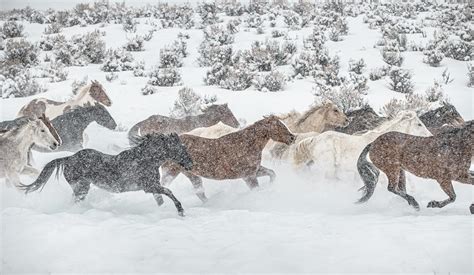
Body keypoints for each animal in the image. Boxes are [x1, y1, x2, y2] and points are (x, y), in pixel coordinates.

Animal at [18, 134, 193, 218]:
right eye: (180, 148)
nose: (191, 164)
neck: (145, 160)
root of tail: (69, 158)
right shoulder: (149, 187)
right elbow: (169, 192)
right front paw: (181, 211)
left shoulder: (152, 187)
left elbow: (161, 199)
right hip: (81, 188)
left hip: (81, 189)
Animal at [157, 115, 294, 204]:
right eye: (279, 126)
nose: (293, 137)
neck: (246, 144)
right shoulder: (248, 175)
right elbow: (256, 189)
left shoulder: (254, 171)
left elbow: (272, 174)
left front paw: (270, 186)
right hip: (172, 172)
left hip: (189, 174)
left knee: (199, 192)